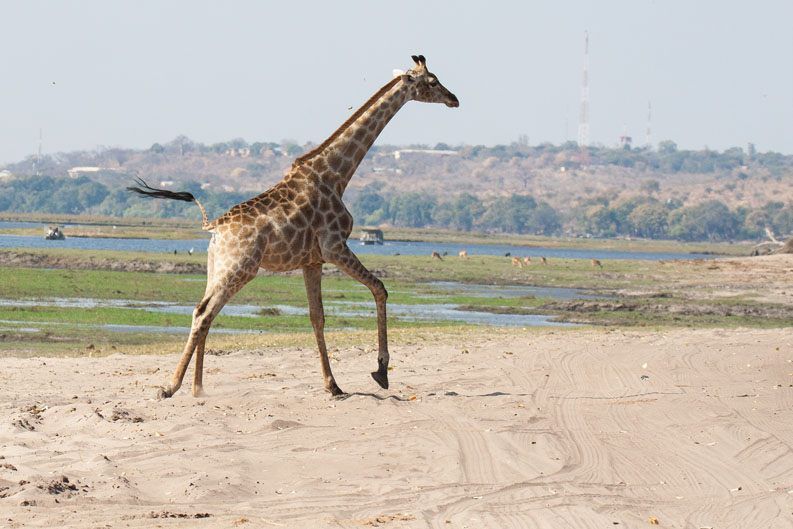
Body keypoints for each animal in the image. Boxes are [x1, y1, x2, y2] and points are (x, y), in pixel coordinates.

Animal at [128, 55, 458, 398]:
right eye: (432, 81)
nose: (454, 99)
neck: (336, 176)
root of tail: (214, 227)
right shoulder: (335, 246)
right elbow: (379, 288)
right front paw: (380, 371)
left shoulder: (312, 260)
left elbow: (317, 317)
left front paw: (333, 385)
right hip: (240, 269)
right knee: (205, 312)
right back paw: (170, 386)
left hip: (217, 267)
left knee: (202, 310)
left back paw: (198, 388)